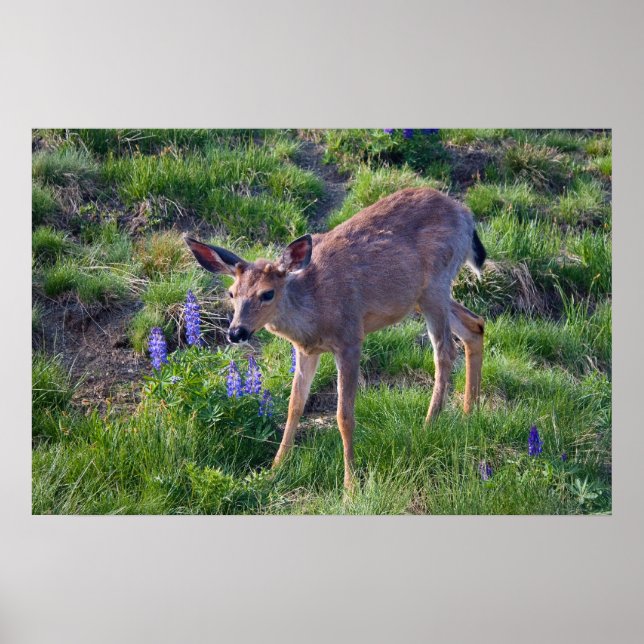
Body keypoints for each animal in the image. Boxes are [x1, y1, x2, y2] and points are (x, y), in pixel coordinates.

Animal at [185, 187, 486, 490]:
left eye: (267, 293)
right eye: (231, 293)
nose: (236, 332)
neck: (314, 308)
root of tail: (465, 214)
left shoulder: (350, 338)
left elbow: (344, 416)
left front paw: (350, 485)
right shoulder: (305, 350)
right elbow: (294, 405)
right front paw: (274, 469)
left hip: (435, 284)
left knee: (445, 351)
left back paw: (429, 425)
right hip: (421, 296)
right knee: (475, 325)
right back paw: (468, 414)